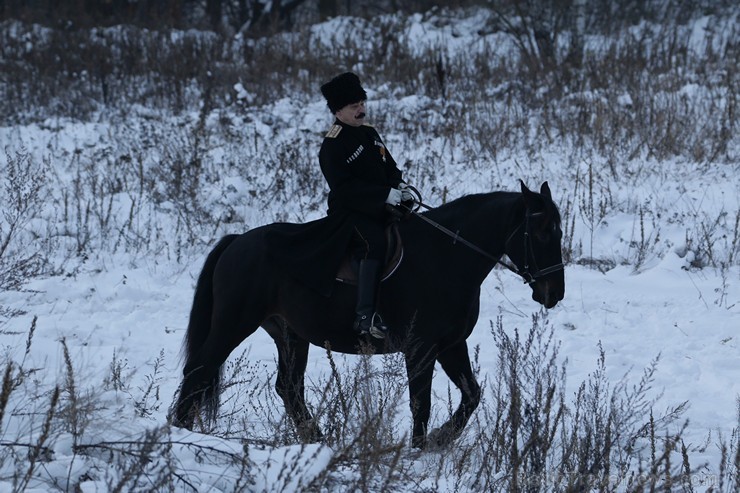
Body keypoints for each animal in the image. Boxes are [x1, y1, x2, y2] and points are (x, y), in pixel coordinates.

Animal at [172, 182, 568, 450]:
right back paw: (180, 431)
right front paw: (419, 450)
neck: (447, 255)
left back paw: (318, 440)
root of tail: (237, 242)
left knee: (288, 387)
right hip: (234, 322)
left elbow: (472, 395)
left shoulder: (451, 344)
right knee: (200, 369)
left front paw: (440, 439)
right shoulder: (421, 347)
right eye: (540, 232)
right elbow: (420, 403)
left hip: (290, 333)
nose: (554, 293)